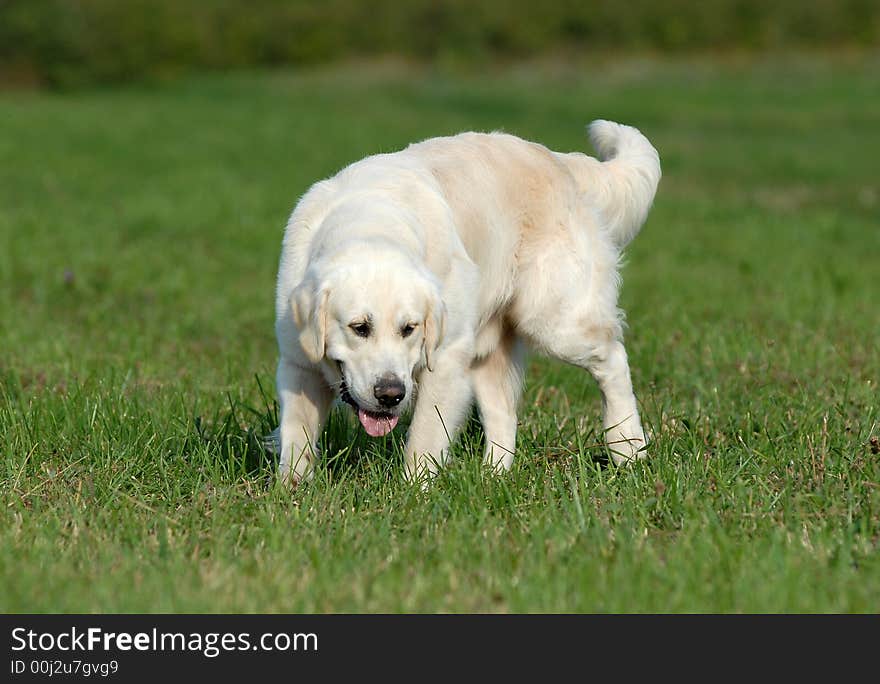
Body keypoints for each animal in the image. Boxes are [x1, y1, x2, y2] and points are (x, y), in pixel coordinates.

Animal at [274, 120, 660, 484]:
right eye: (359, 327)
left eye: (409, 329)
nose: (390, 394)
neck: (370, 224)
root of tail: (558, 160)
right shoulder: (298, 363)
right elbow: (297, 436)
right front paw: (293, 489)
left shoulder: (445, 358)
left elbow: (425, 437)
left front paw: (414, 490)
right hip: (488, 348)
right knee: (504, 411)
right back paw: (494, 475)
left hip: (555, 323)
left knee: (613, 360)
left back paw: (627, 449)